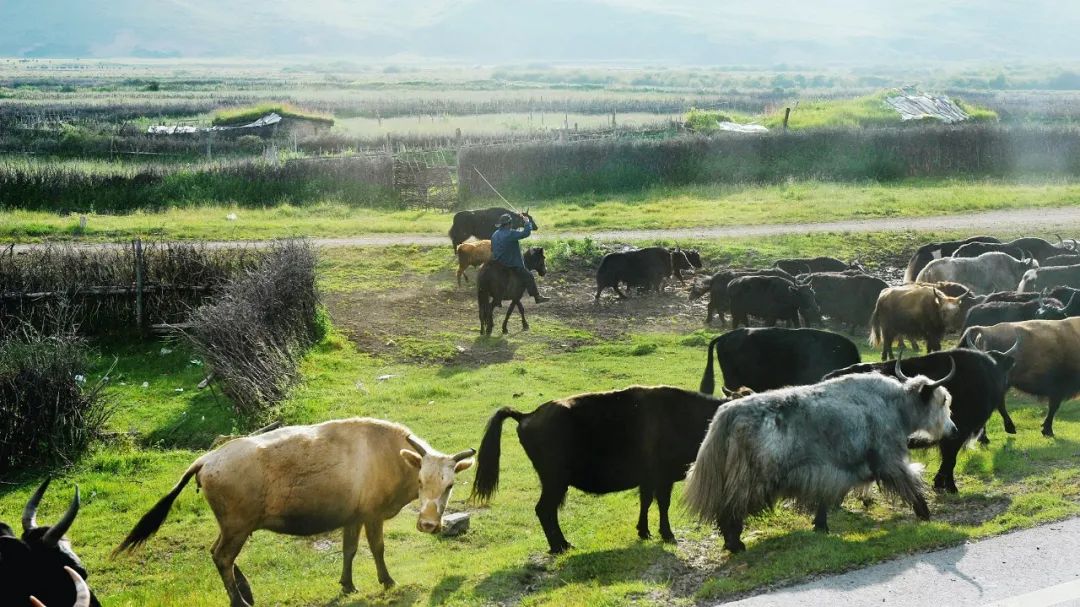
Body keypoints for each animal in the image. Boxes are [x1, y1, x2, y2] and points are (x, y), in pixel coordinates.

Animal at [113, 419, 477, 604]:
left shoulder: (353, 515)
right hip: (238, 525)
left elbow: (349, 549)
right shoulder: (372, 514)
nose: (428, 524)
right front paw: (387, 581)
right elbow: (377, 548)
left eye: (450, 485)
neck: (390, 455)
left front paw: (347, 584)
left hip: (231, 525)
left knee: (218, 553)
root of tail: (207, 459)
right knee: (222, 557)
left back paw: (245, 591)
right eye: (420, 480)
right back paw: (239, 600)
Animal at [468, 384, 747, 550]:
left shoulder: (648, 479)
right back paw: (562, 546)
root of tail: (527, 416)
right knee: (544, 510)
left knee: (547, 511)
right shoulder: (663, 478)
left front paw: (644, 532)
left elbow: (646, 502)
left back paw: (562, 544)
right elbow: (662, 504)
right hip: (555, 482)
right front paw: (668, 535)